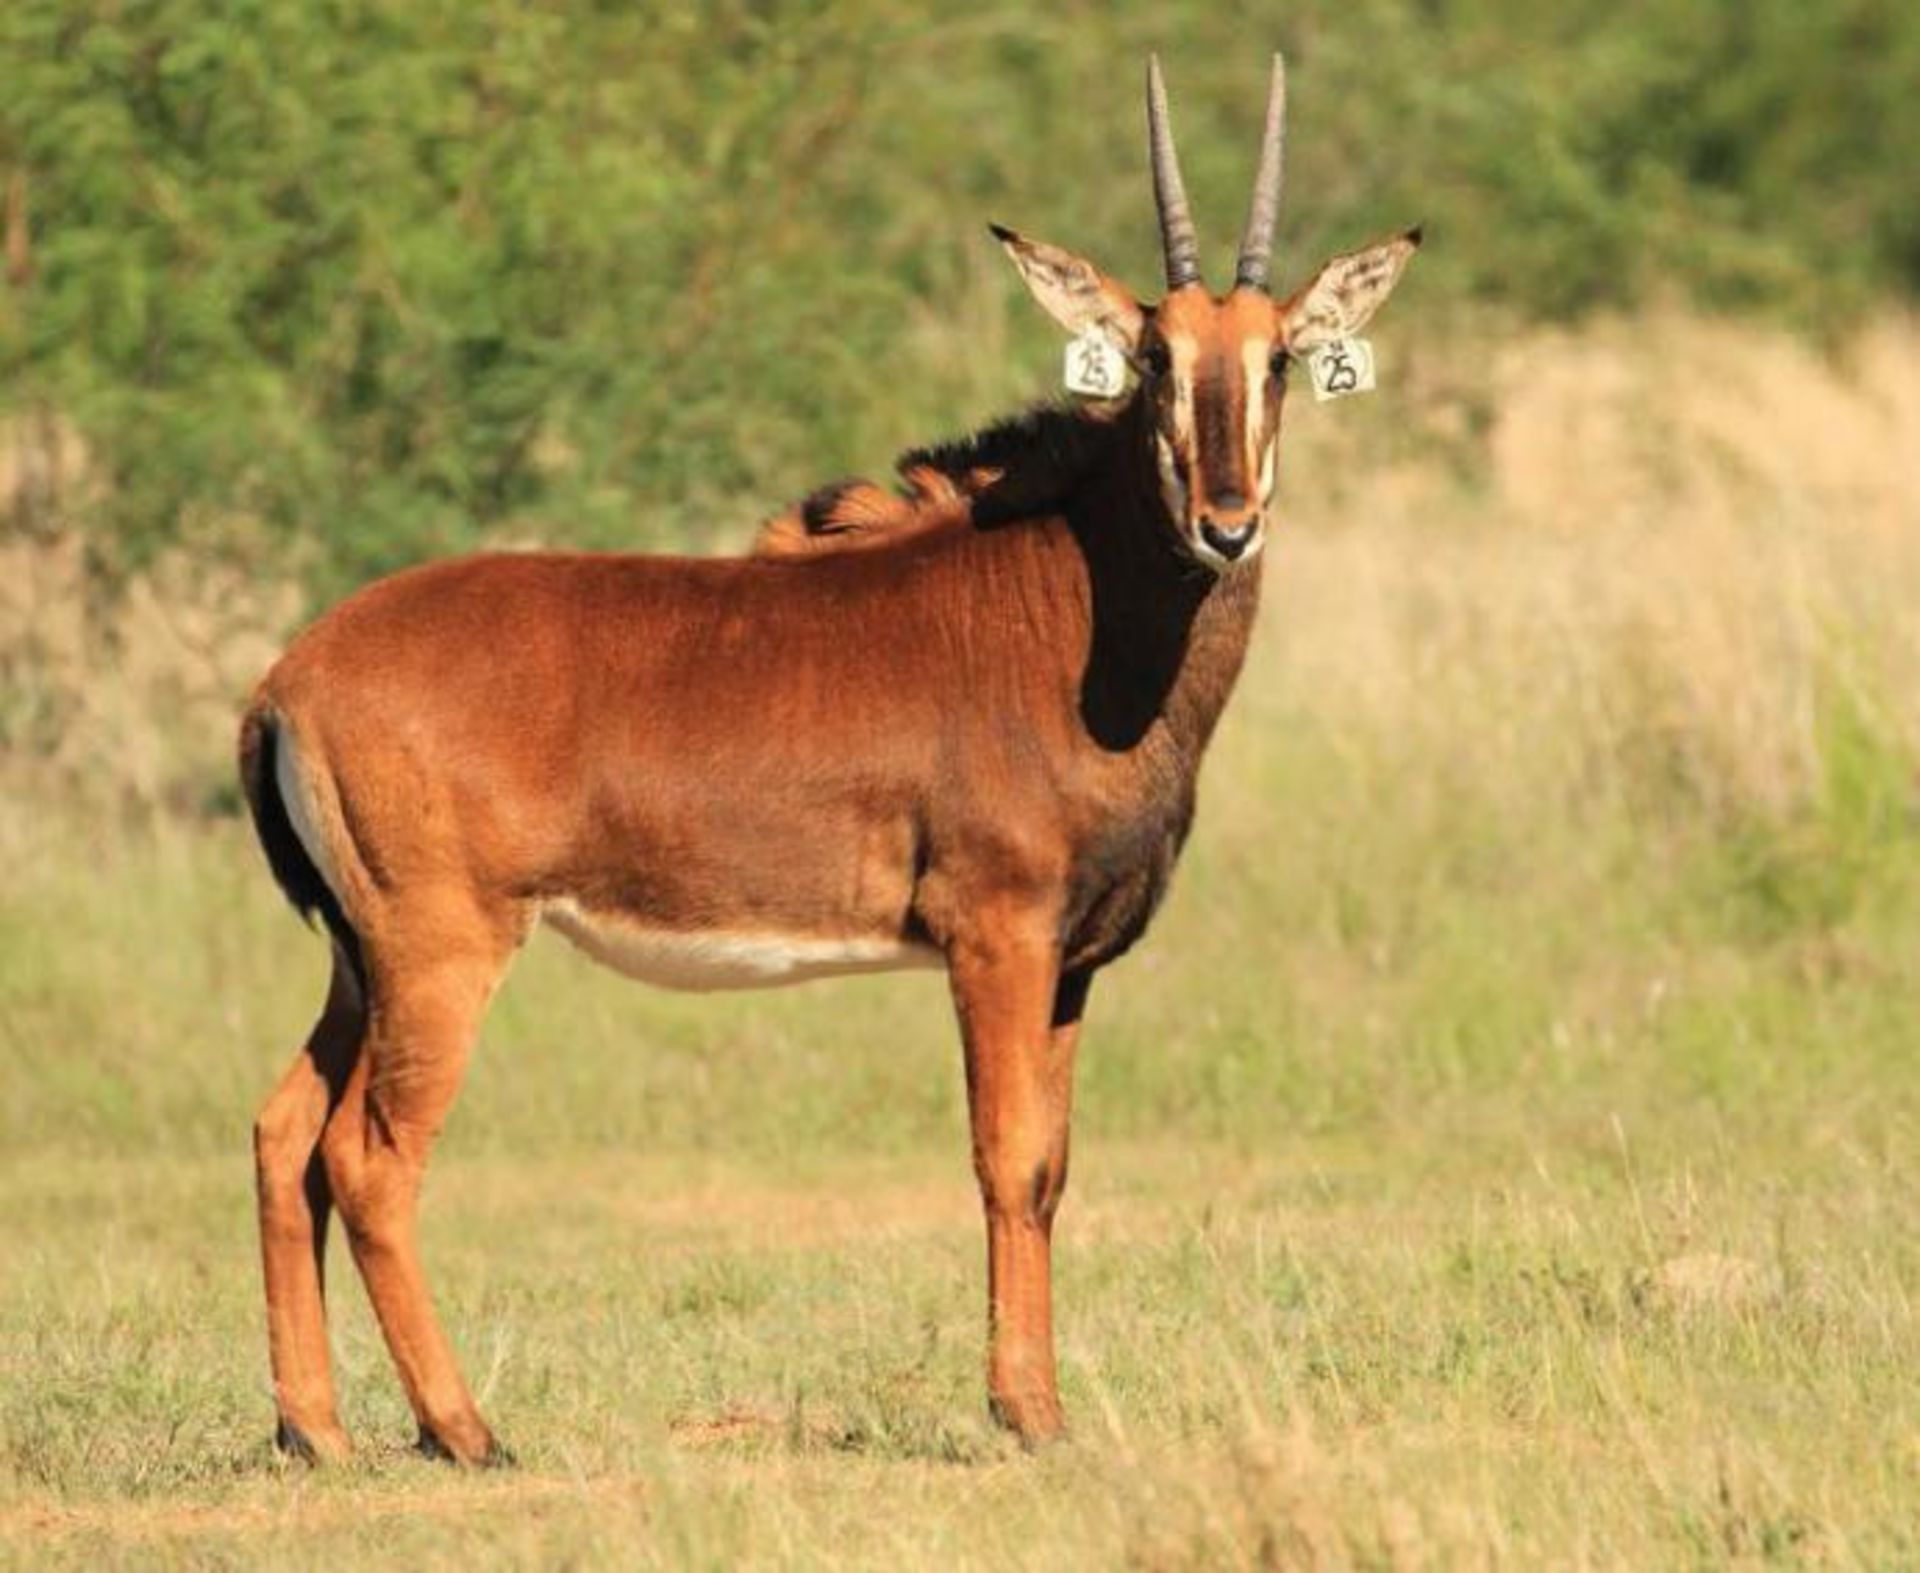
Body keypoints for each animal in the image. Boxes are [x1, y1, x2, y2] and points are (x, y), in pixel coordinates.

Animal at [236, 58, 1413, 1467]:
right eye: (1150, 357)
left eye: (1278, 355)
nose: (1225, 524)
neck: (1071, 612)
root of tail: (287, 680)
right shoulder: (996, 935)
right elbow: (1006, 1159)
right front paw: (1025, 1412)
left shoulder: (1070, 964)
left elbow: (1055, 1169)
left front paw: (1041, 1401)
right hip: (439, 950)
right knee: (371, 1155)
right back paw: (466, 1430)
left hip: (357, 959)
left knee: (286, 1131)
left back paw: (318, 1430)